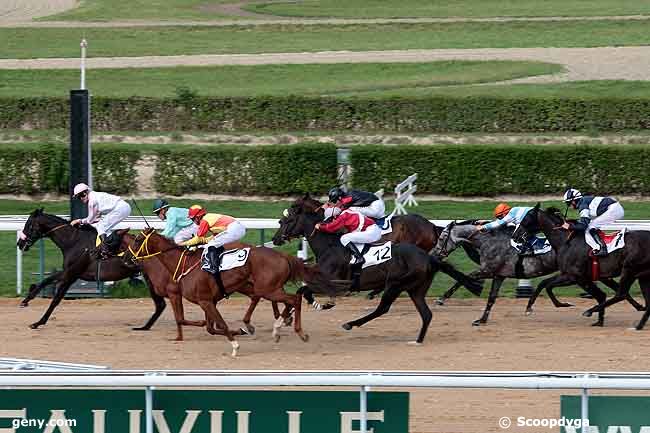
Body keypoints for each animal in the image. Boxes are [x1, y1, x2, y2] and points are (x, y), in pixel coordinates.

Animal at [270, 194, 480, 342]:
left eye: (287, 220)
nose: (276, 238)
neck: (329, 246)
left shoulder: (334, 283)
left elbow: (304, 291)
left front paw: (321, 304)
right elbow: (300, 291)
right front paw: (286, 319)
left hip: (396, 284)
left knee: (383, 308)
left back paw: (352, 321)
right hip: (414, 288)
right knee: (425, 314)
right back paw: (418, 338)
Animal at [512, 206, 648, 328]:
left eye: (526, 218)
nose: (514, 236)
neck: (565, 241)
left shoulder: (574, 277)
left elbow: (549, 286)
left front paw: (565, 304)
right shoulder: (568, 274)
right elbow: (543, 283)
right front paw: (529, 307)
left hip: (629, 270)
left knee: (621, 293)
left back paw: (590, 311)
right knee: (622, 292)